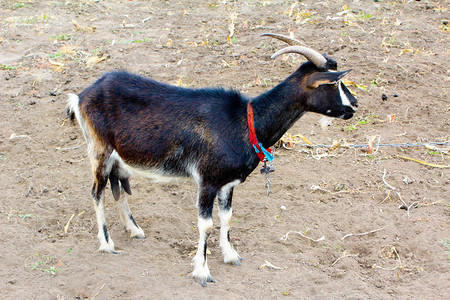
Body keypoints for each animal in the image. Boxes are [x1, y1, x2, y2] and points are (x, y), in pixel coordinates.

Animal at [66, 33, 358, 286]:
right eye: (333, 83)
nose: (354, 105)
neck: (247, 122)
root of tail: (81, 96)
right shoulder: (206, 180)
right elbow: (205, 225)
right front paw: (202, 271)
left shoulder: (227, 183)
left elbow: (226, 218)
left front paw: (230, 255)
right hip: (99, 150)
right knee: (97, 192)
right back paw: (106, 244)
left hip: (119, 158)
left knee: (119, 188)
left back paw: (134, 229)